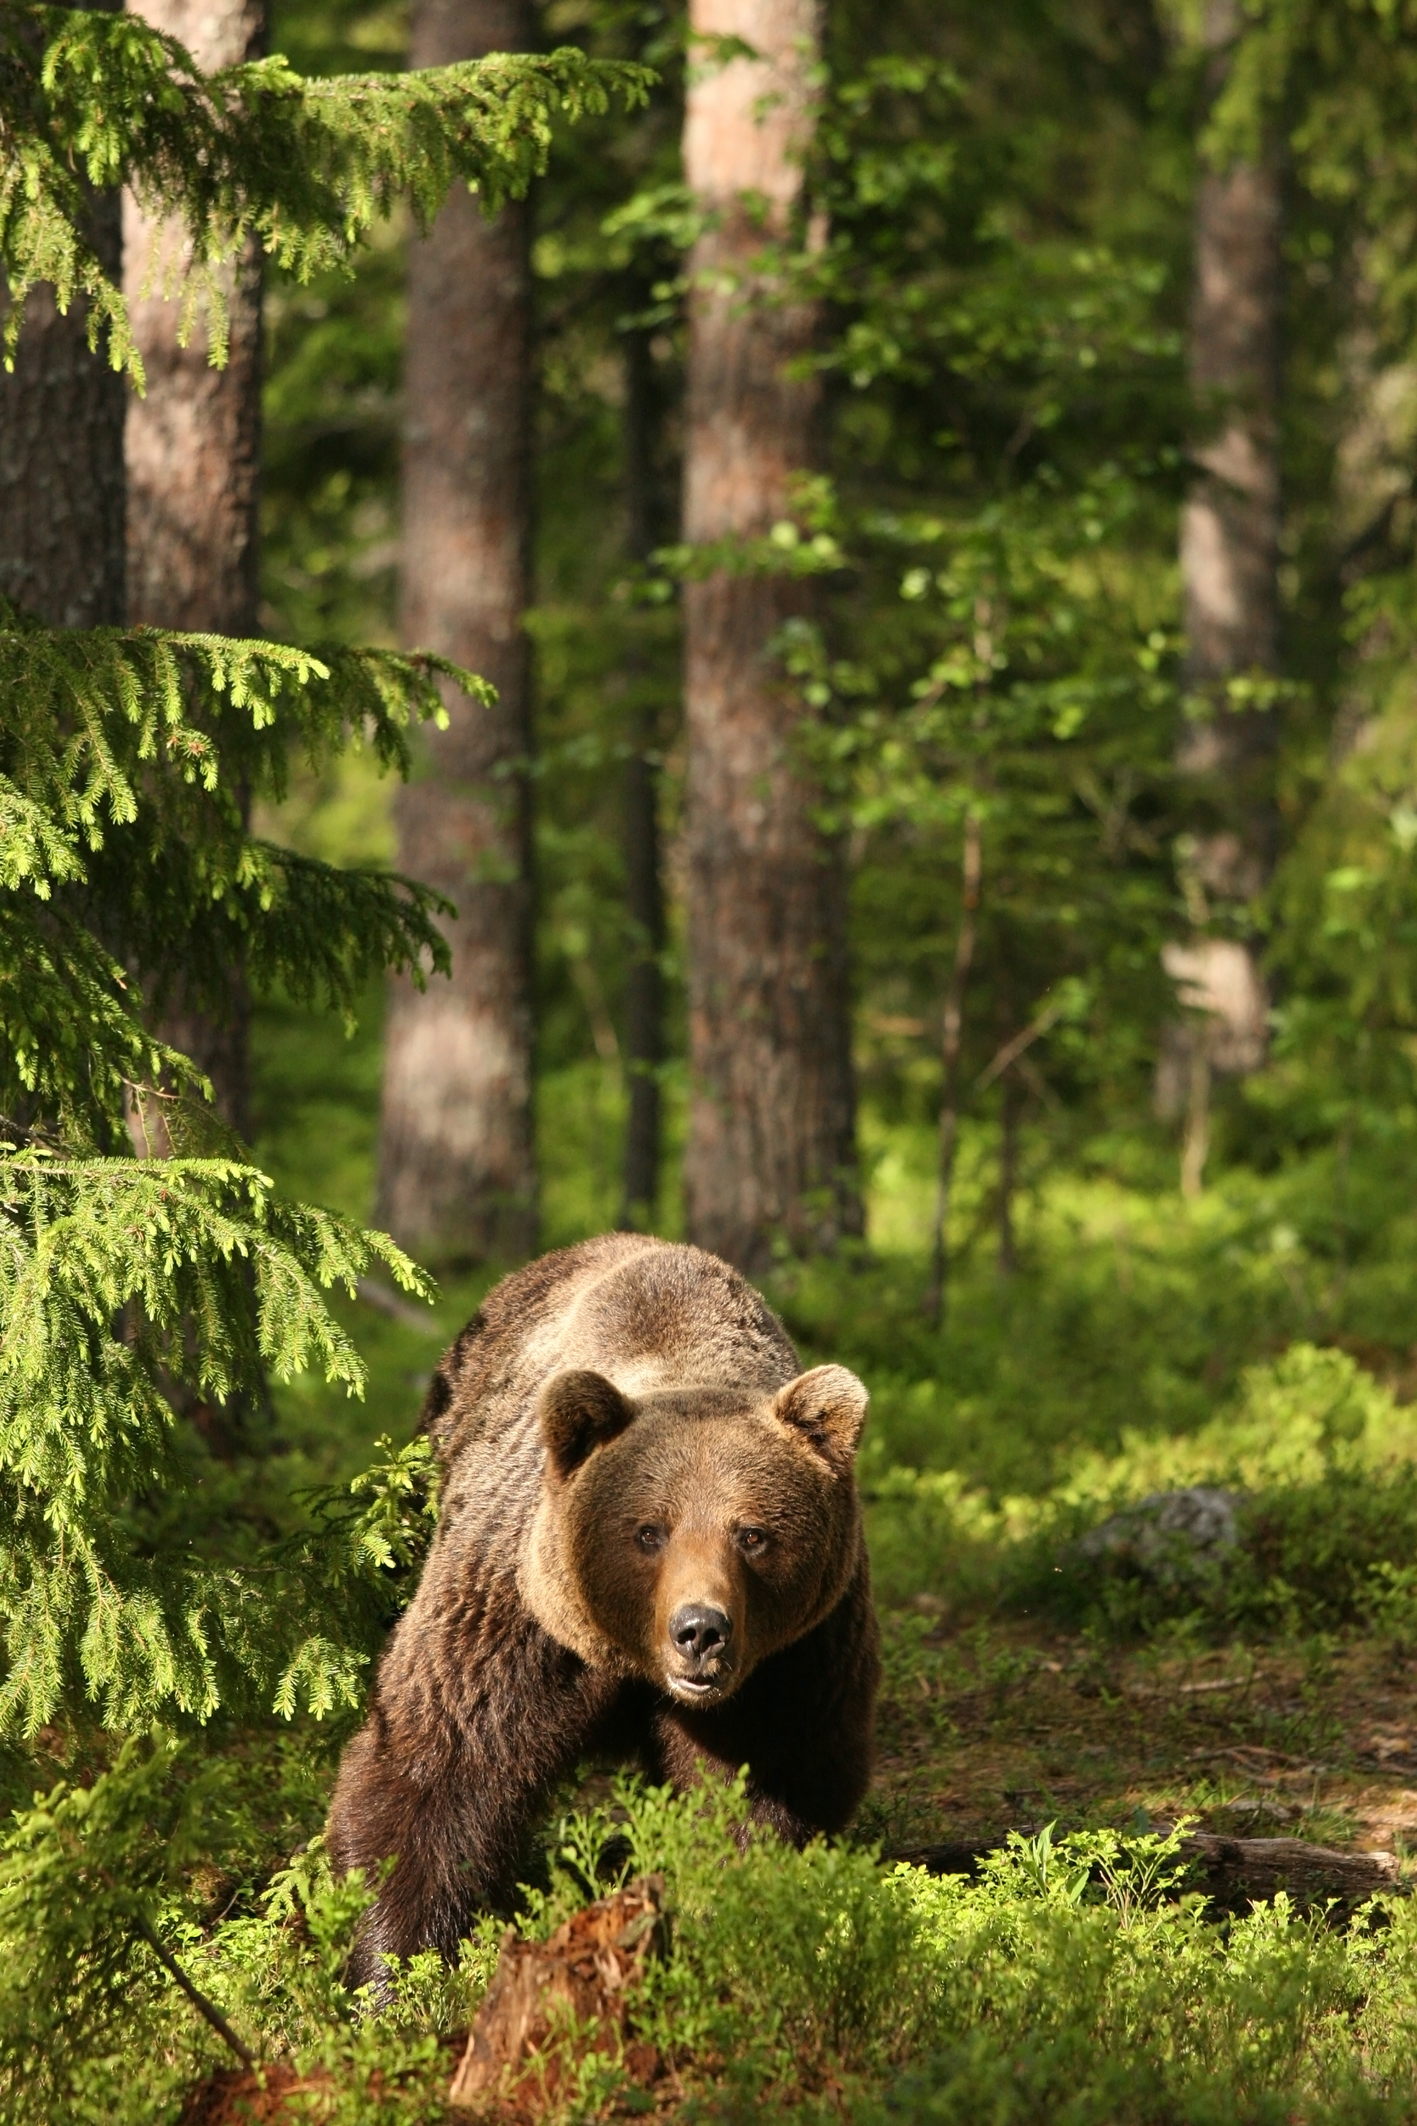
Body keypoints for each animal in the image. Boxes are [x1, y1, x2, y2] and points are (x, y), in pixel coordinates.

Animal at [329, 1233, 879, 1972]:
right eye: (648, 1531)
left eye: (753, 1534)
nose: (699, 1631)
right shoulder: (517, 1616)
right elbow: (436, 1766)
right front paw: (397, 1965)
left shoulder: (794, 1653)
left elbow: (766, 1783)